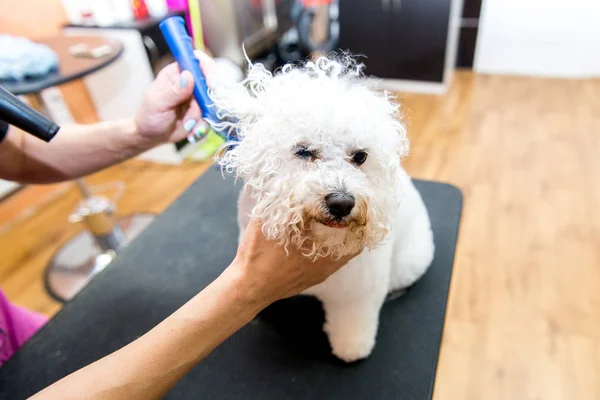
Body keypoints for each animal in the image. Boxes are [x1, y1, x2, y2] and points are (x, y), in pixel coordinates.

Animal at [213, 54, 434, 362]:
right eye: (304, 151)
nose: (341, 203)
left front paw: (352, 349)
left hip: (407, 262)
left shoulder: (358, 290)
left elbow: (354, 321)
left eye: (360, 156)